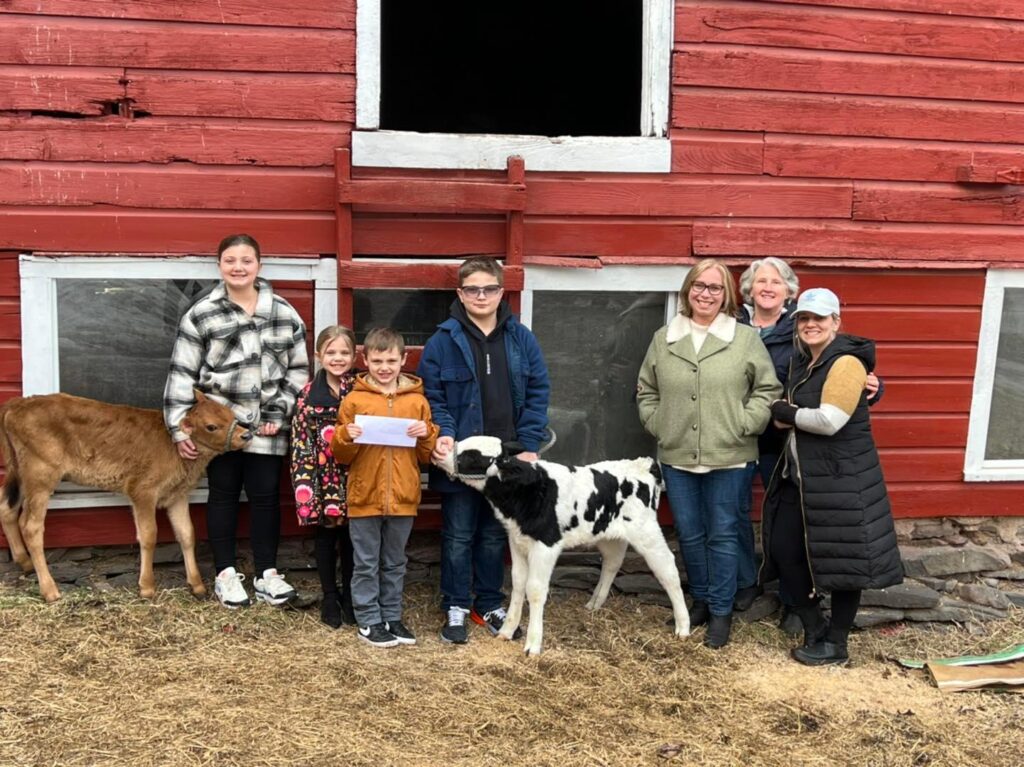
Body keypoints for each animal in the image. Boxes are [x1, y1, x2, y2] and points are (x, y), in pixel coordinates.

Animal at [0, 391, 250, 602]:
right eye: (211, 426)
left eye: (231, 415)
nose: (246, 435)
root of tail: (18, 403)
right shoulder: (142, 491)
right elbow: (149, 535)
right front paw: (147, 587)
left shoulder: (177, 495)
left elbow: (187, 534)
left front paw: (197, 585)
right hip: (40, 475)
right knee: (31, 526)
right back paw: (50, 590)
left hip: (20, 471)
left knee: (7, 509)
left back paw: (24, 562)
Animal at [436, 436, 692, 651]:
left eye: (471, 456)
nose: (441, 449)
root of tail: (643, 464)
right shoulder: (517, 541)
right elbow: (518, 583)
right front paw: (507, 631)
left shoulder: (546, 545)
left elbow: (535, 589)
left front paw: (533, 645)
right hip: (610, 535)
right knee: (612, 563)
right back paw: (594, 603)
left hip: (646, 532)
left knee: (668, 570)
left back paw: (683, 626)